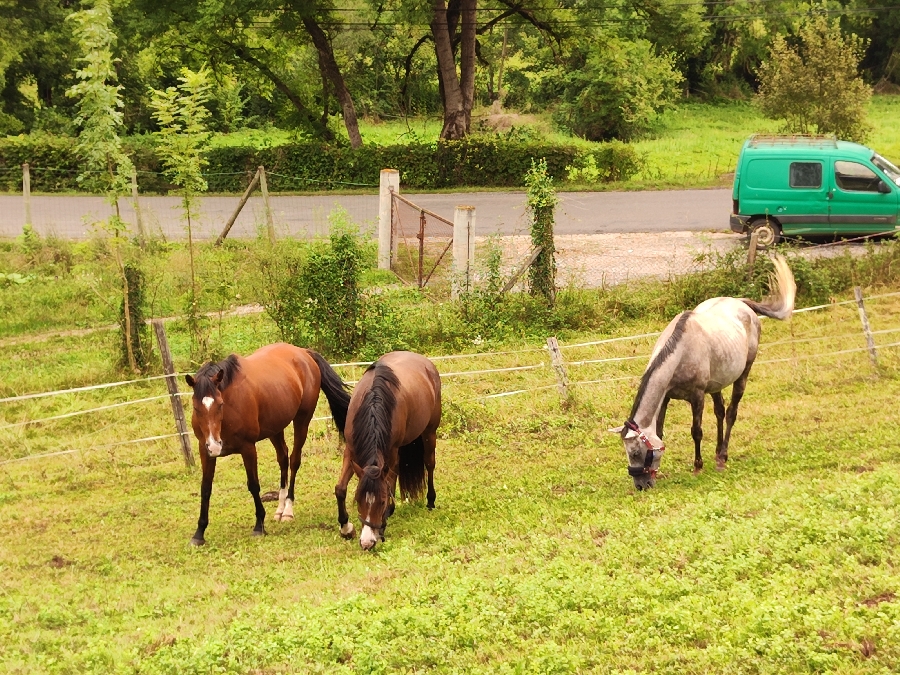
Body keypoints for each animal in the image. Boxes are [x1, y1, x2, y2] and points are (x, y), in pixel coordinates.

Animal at [185, 346, 350, 548]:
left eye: (220, 404)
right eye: (196, 408)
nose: (216, 446)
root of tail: (303, 352)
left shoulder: (248, 448)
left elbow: (254, 485)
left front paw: (259, 526)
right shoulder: (205, 451)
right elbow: (205, 489)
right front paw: (199, 533)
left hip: (302, 420)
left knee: (294, 460)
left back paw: (288, 509)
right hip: (275, 428)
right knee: (283, 458)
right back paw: (280, 508)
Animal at [332, 352, 442, 552]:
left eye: (381, 501)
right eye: (358, 499)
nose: (367, 543)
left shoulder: (391, 452)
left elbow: (389, 485)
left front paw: (382, 525)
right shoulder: (351, 450)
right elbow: (340, 489)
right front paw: (345, 528)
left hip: (429, 432)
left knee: (429, 464)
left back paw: (430, 501)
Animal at [612, 256, 796, 488]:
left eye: (636, 452)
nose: (641, 485)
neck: (681, 352)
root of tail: (741, 303)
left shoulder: (697, 396)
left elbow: (696, 431)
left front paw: (697, 467)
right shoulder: (666, 397)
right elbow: (660, 431)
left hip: (743, 374)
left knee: (731, 413)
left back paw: (722, 457)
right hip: (717, 382)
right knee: (720, 411)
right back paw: (717, 454)